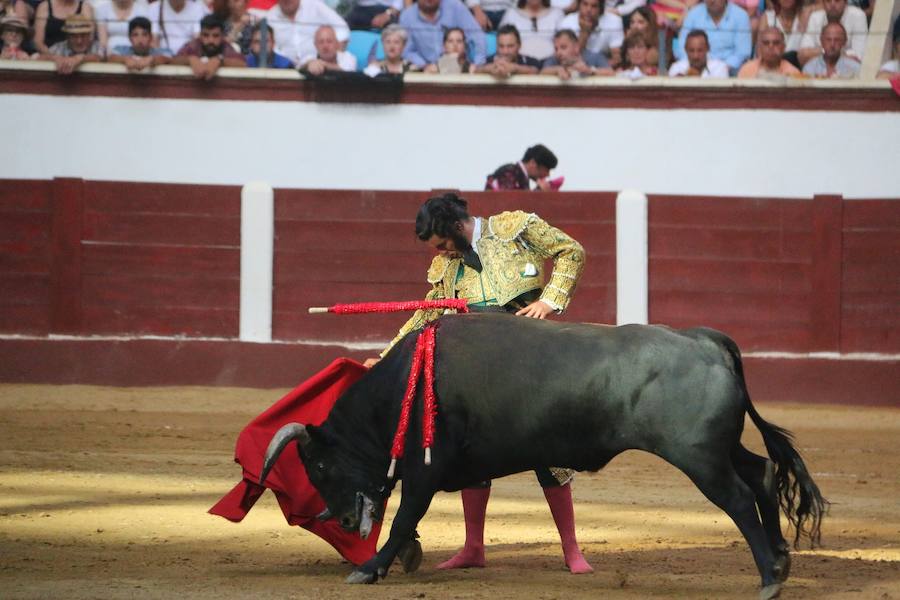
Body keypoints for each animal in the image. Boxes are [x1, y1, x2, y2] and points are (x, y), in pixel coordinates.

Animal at [258, 312, 824, 596]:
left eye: (320, 465)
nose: (341, 519)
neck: (404, 388)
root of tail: (705, 340)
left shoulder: (424, 470)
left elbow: (402, 518)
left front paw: (371, 567)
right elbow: (411, 519)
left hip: (698, 455)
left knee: (738, 497)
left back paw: (769, 579)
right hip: (718, 446)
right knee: (762, 473)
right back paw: (780, 558)